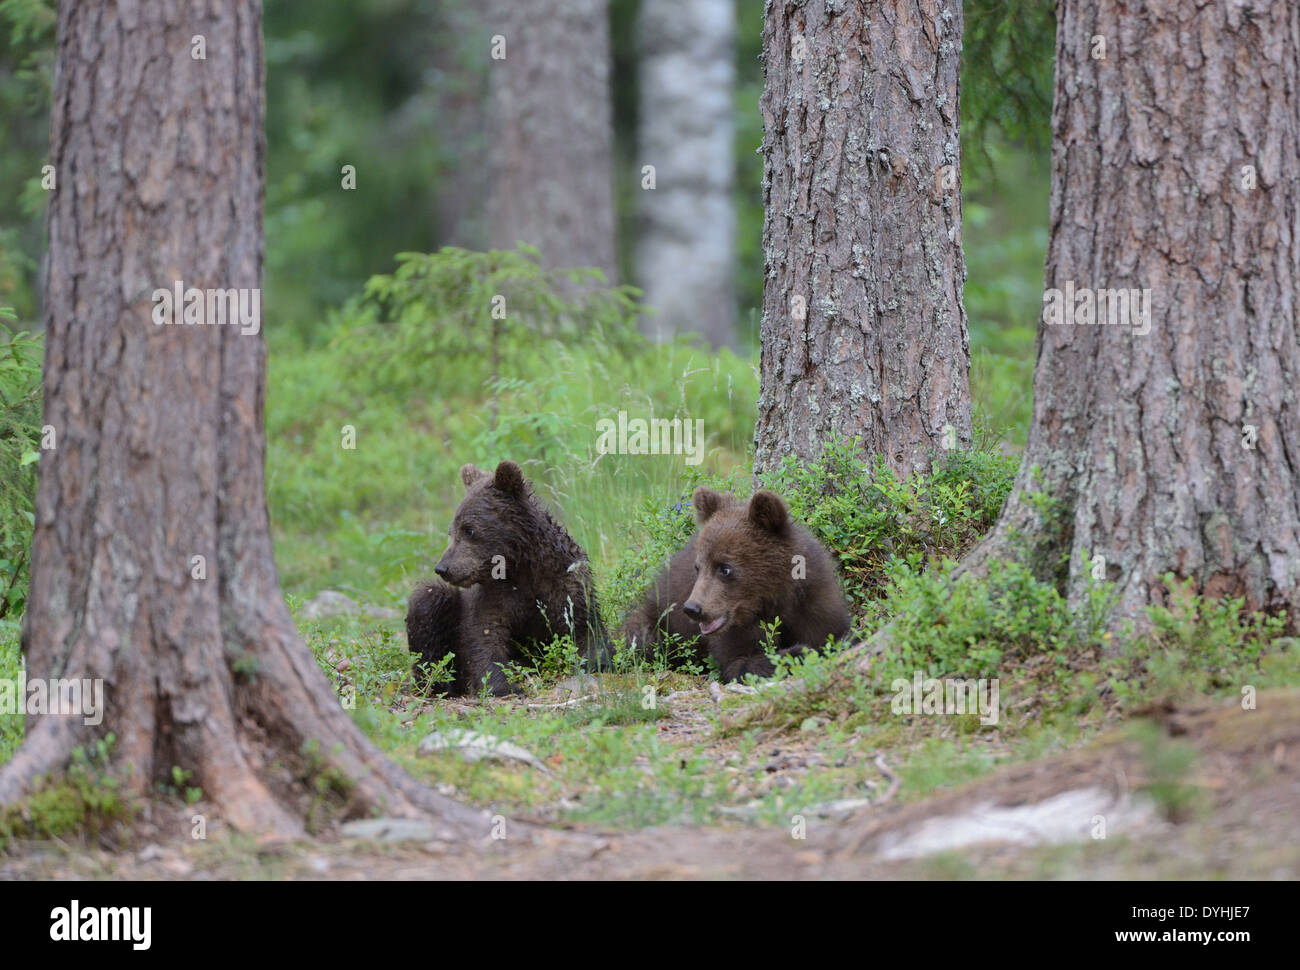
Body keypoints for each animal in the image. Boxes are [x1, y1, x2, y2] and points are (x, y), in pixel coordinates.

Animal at [405, 460, 607, 696]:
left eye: (469, 530)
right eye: (451, 532)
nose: (443, 568)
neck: (521, 566)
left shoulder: (567, 582)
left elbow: (586, 627)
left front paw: (595, 661)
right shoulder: (493, 595)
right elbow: (484, 634)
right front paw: (502, 685)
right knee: (428, 599)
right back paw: (436, 683)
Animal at [620, 486, 851, 681]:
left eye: (725, 568)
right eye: (698, 567)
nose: (692, 608)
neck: (775, 599)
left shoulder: (814, 603)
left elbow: (831, 633)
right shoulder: (736, 628)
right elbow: (740, 662)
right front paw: (797, 652)